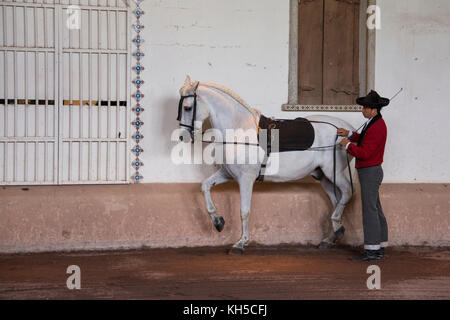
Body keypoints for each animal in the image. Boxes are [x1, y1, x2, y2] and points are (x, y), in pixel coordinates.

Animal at [176, 76, 356, 254]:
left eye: (187, 108)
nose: (183, 136)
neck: (239, 131)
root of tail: (349, 130)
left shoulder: (246, 179)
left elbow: (244, 211)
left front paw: (241, 243)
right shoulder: (227, 174)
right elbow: (205, 186)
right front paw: (218, 221)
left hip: (334, 172)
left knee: (347, 192)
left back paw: (337, 229)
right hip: (323, 176)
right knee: (337, 200)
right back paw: (331, 237)